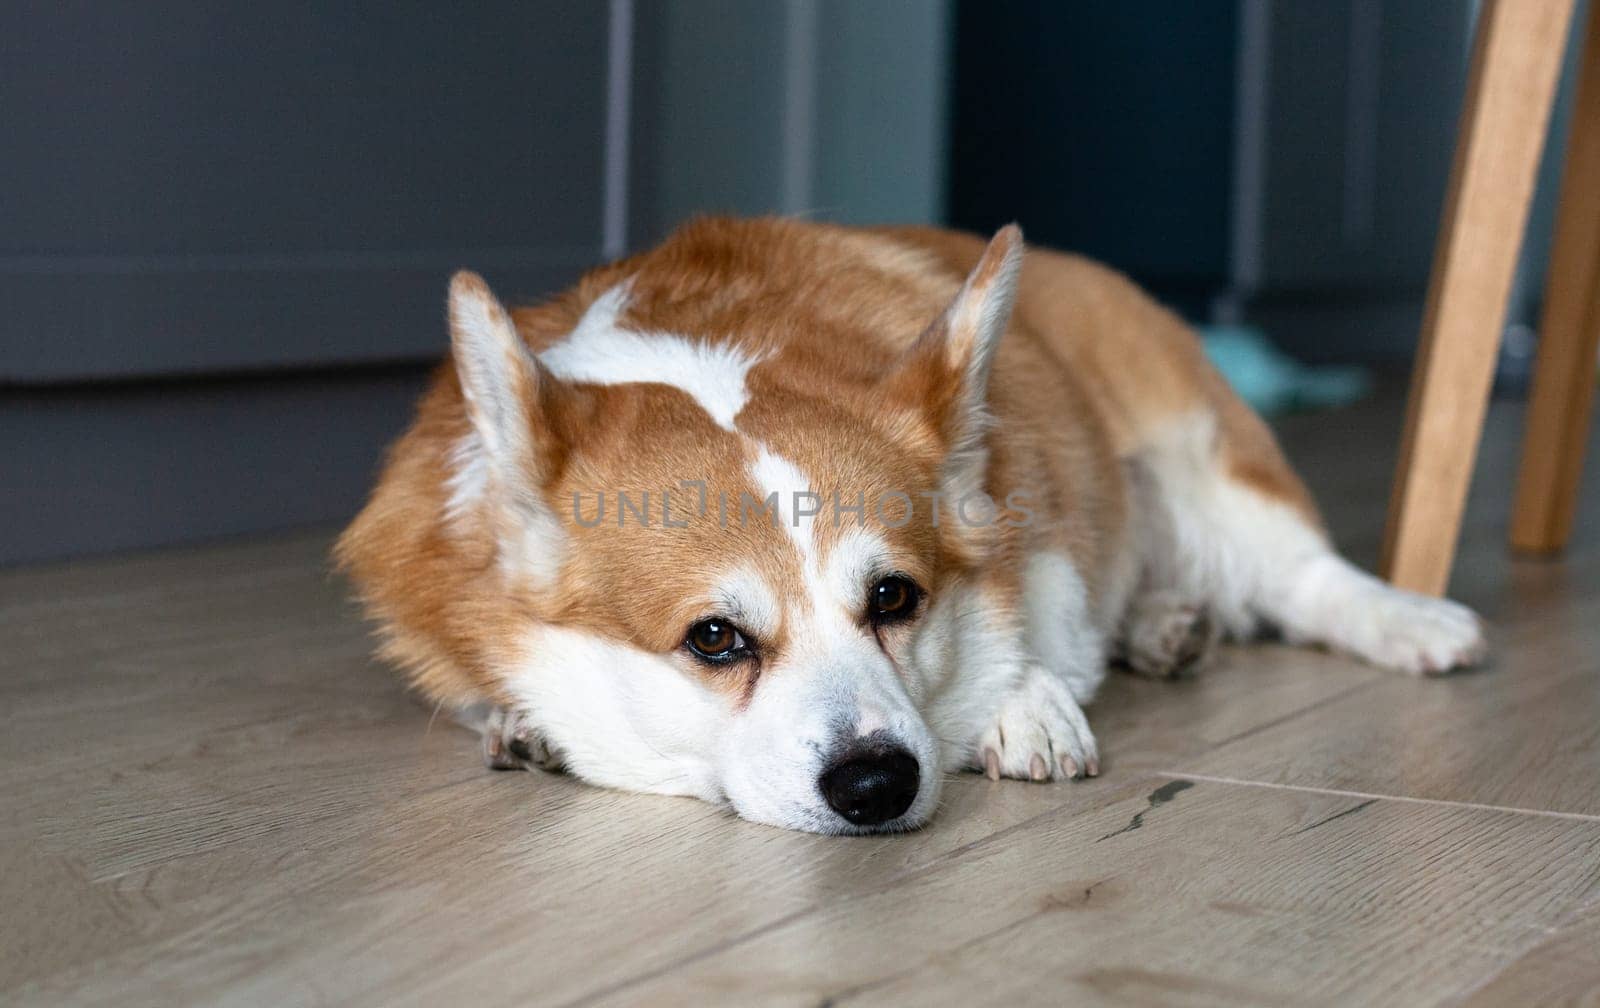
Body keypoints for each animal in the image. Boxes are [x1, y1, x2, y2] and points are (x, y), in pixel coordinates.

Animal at [340, 219, 1484, 838]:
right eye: (714, 638)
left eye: (894, 597)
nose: (878, 785)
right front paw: (520, 721)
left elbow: (1031, 623)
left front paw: (1018, 703)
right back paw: (1166, 626)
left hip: (1197, 450)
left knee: (1302, 574)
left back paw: (1410, 622)